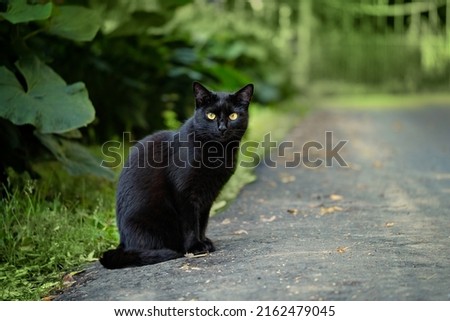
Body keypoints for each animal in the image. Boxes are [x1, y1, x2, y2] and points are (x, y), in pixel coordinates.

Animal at [100, 81, 253, 266]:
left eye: (233, 116)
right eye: (210, 115)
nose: (222, 128)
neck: (217, 152)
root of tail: (123, 243)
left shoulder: (208, 194)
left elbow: (202, 221)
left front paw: (204, 241)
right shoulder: (184, 192)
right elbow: (190, 223)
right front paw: (195, 247)